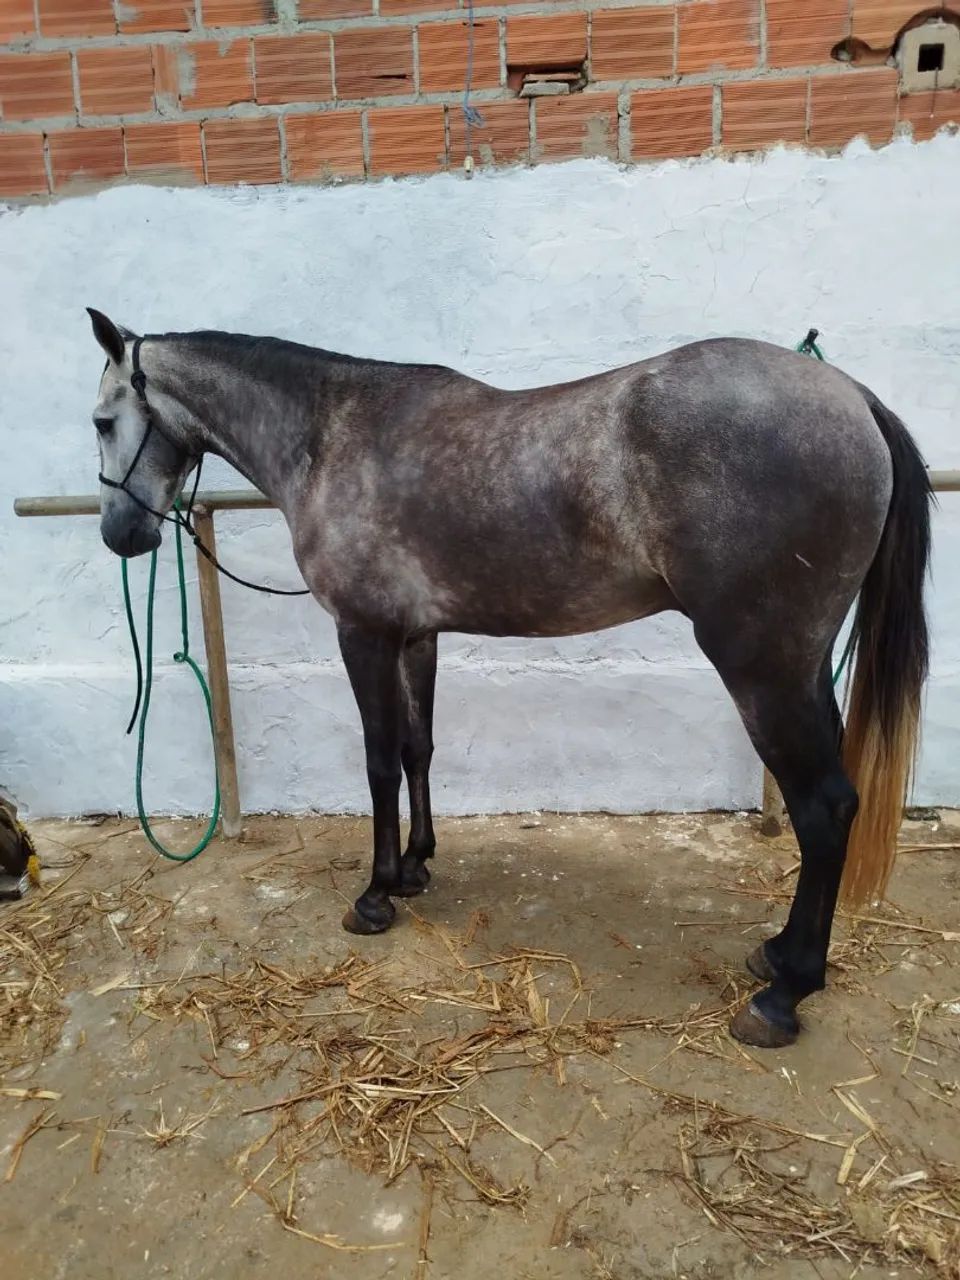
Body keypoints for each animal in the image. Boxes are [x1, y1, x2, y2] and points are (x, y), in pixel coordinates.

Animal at [85, 308, 931, 1048]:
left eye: (100, 421)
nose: (120, 536)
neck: (332, 435)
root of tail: (852, 398)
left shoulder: (363, 634)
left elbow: (377, 762)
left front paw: (375, 894)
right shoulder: (416, 636)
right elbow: (416, 751)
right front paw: (416, 866)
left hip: (762, 667)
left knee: (823, 808)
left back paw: (784, 996)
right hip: (803, 664)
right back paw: (778, 954)